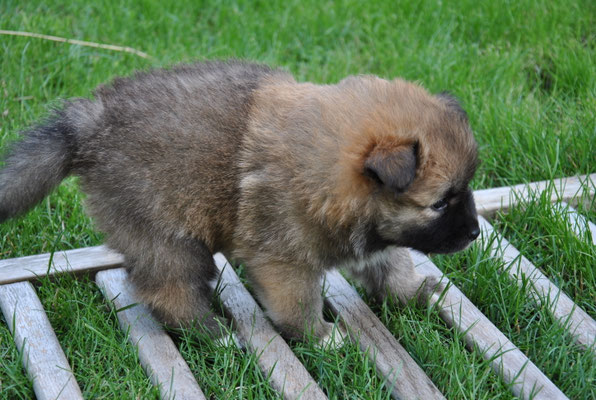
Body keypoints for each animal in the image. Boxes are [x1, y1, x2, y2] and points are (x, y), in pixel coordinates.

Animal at [0, 60, 479, 343]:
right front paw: (322, 335)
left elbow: (391, 267)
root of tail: (89, 123)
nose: (475, 233)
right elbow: (297, 304)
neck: (327, 173)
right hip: (169, 236)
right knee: (169, 289)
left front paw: (415, 293)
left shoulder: (374, 239)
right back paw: (212, 332)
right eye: (440, 203)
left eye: (466, 190)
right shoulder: (283, 261)